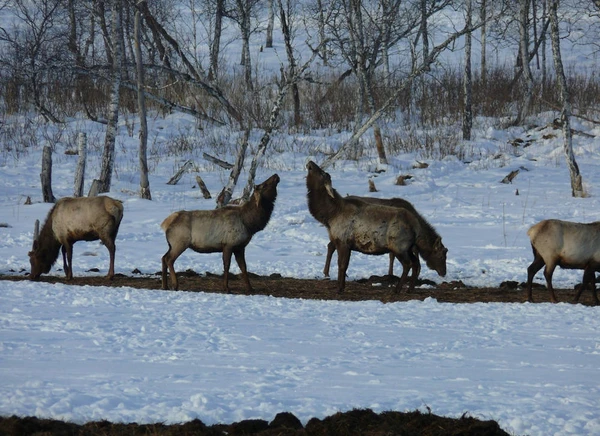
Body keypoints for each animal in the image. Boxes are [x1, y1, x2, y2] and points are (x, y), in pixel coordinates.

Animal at [308, 161, 424, 292]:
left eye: (322, 173)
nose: (310, 162)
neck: (330, 216)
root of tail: (416, 225)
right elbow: (344, 266)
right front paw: (341, 286)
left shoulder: (343, 242)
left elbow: (342, 266)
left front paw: (339, 289)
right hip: (408, 247)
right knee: (416, 263)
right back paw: (410, 289)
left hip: (399, 246)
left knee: (408, 264)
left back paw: (397, 289)